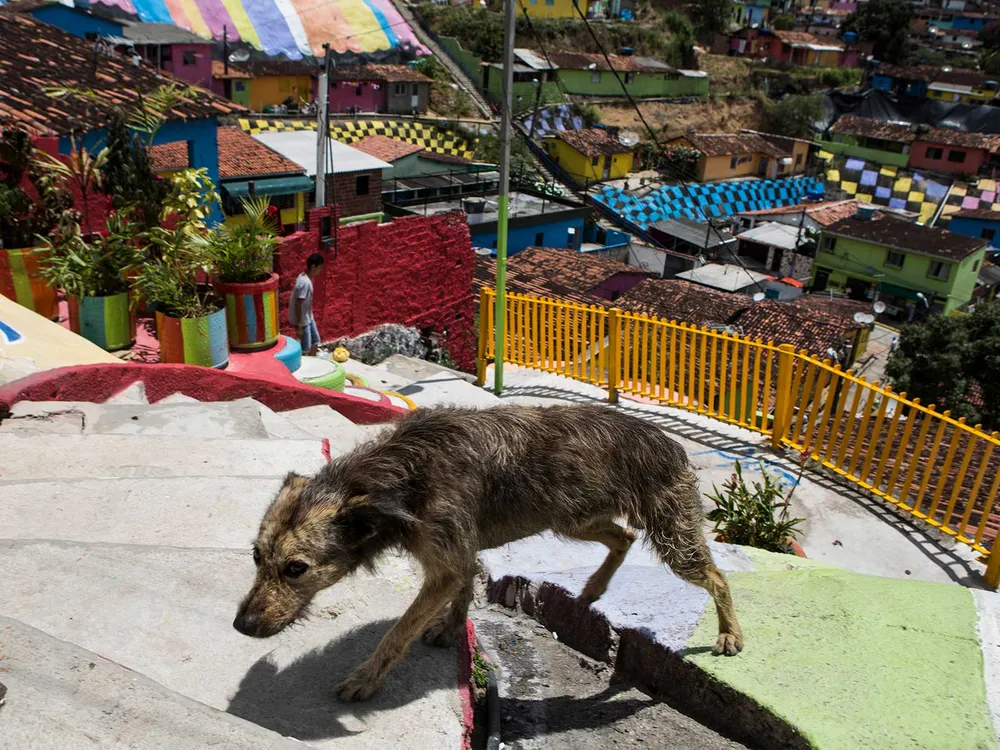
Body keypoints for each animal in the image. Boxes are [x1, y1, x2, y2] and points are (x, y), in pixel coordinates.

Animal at [234, 406, 744, 704]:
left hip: (671, 538)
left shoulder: (446, 561)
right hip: (573, 518)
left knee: (716, 575)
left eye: (295, 569)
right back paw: (594, 587)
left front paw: (366, 679)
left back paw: (728, 634)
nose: (241, 626)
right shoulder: (457, 554)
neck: (399, 477)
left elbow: (398, 632)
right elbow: (461, 589)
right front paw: (451, 628)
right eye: (256, 557)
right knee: (623, 538)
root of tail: (669, 441)